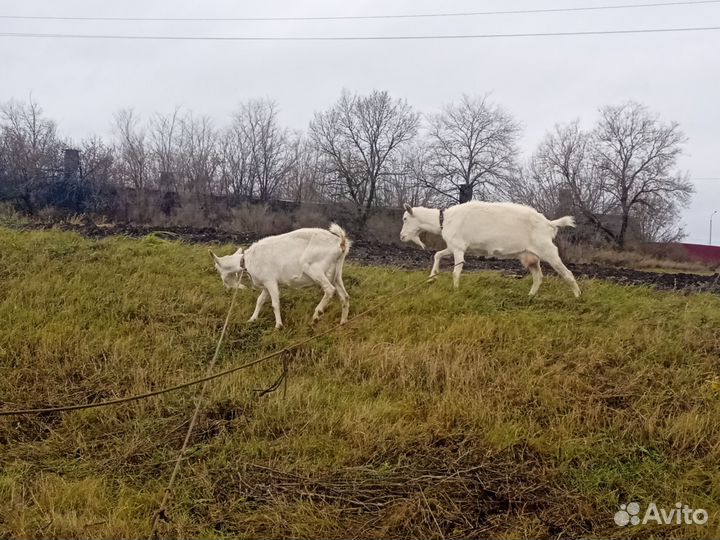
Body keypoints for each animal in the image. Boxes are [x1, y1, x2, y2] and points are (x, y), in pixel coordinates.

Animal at [211, 224, 351, 328]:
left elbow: (275, 303)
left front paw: (278, 325)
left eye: (217, 269)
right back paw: (342, 323)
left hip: (313, 267)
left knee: (329, 289)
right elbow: (260, 300)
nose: (227, 289)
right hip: (336, 274)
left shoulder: (270, 281)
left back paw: (316, 316)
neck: (247, 260)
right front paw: (252, 319)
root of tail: (341, 242)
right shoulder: (266, 284)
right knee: (344, 296)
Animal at [400, 201, 580, 297]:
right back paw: (530, 296)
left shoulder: (458, 248)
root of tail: (549, 223)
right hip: (529, 255)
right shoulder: (453, 247)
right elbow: (437, 255)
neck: (444, 219)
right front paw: (432, 277)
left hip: (547, 250)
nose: (401, 237)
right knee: (538, 277)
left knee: (567, 273)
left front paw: (455, 290)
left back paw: (577, 296)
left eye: (405, 218)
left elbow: (455, 271)